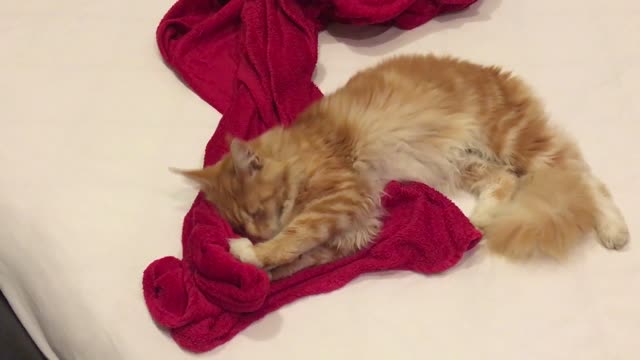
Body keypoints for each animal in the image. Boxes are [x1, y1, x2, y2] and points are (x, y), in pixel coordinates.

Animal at [176, 54, 632, 282]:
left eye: (255, 212)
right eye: (242, 220)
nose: (255, 232)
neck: (299, 153)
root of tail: (496, 74)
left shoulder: (343, 197)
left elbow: (295, 238)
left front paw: (251, 255)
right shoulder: (357, 223)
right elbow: (309, 254)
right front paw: (268, 267)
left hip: (511, 140)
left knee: (585, 177)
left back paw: (613, 228)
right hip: (466, 162)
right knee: (504, 179)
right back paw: (482, 217)